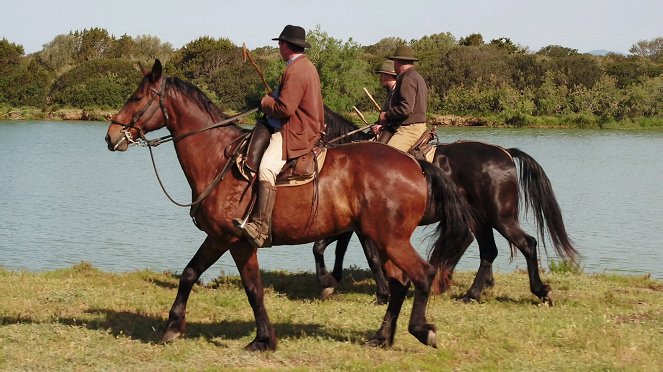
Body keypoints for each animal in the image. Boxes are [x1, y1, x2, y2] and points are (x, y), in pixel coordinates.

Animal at [104, 59, 474, 350]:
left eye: (137, 97)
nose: (110, 135)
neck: (218, 158)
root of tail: (414, 164)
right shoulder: (219, 237)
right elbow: (191, 273)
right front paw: (174, 326)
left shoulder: (236, 241)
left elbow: (253, 289)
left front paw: (263, 339)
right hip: (385, 238)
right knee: (400, 283)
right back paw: (382, 336)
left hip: (390, 238)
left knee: (422, 274)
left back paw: (421, 330)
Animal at [314, 107, 580, 306]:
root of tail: (505, 152)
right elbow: (334, 248)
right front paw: (331, 281)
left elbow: (365, 256)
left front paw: (379, 294)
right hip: (481, 220)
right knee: (488, 251)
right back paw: (472, 294)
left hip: (501, 218)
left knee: (527, 244)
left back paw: (540, 291)